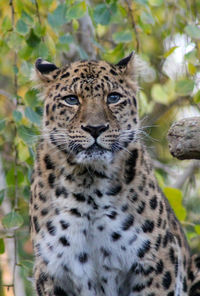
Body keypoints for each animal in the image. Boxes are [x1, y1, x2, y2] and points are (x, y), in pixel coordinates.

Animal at [29, 53, 200, 296]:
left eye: (113, 97)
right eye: (71, 100)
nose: (95, 128)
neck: (89, 183)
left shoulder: (156, 264)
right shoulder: (53, 273)